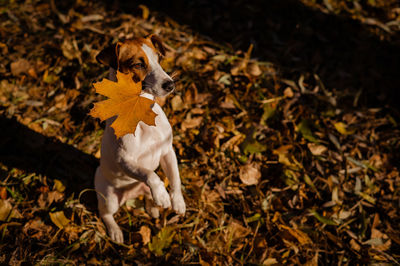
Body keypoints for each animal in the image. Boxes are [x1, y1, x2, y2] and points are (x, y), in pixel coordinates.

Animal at [94, 35, 186, 243]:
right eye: (138, 64)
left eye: (159, 59)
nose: (170, 84)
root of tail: (131, 195)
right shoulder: (125, 161)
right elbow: (149, 174)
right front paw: (162, 195)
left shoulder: (167, 151)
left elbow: (175, 177)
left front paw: (177, 201)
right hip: (109, 198)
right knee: (105, 213)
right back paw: (115, 231)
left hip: (141, 189)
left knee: (148, 196)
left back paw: (153, 207)